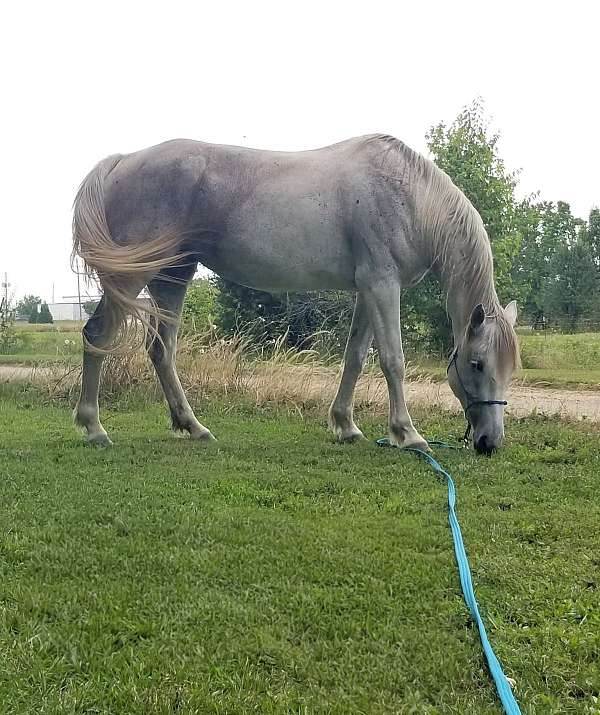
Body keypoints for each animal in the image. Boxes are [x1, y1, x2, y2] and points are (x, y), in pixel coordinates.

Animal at [72, 134, 519, 455]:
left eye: (510, 369)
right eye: (476, 364)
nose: (490, 443)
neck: (408, 195)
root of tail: (123, 160)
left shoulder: (367, 290)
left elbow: (355, 357)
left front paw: (345, 425)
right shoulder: (382, 285)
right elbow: (393, 361)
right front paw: (407, 434)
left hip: (173, 277)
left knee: (161, 350)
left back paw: (193, 426)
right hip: (134, 276)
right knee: (98, 335)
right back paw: (94, 427)